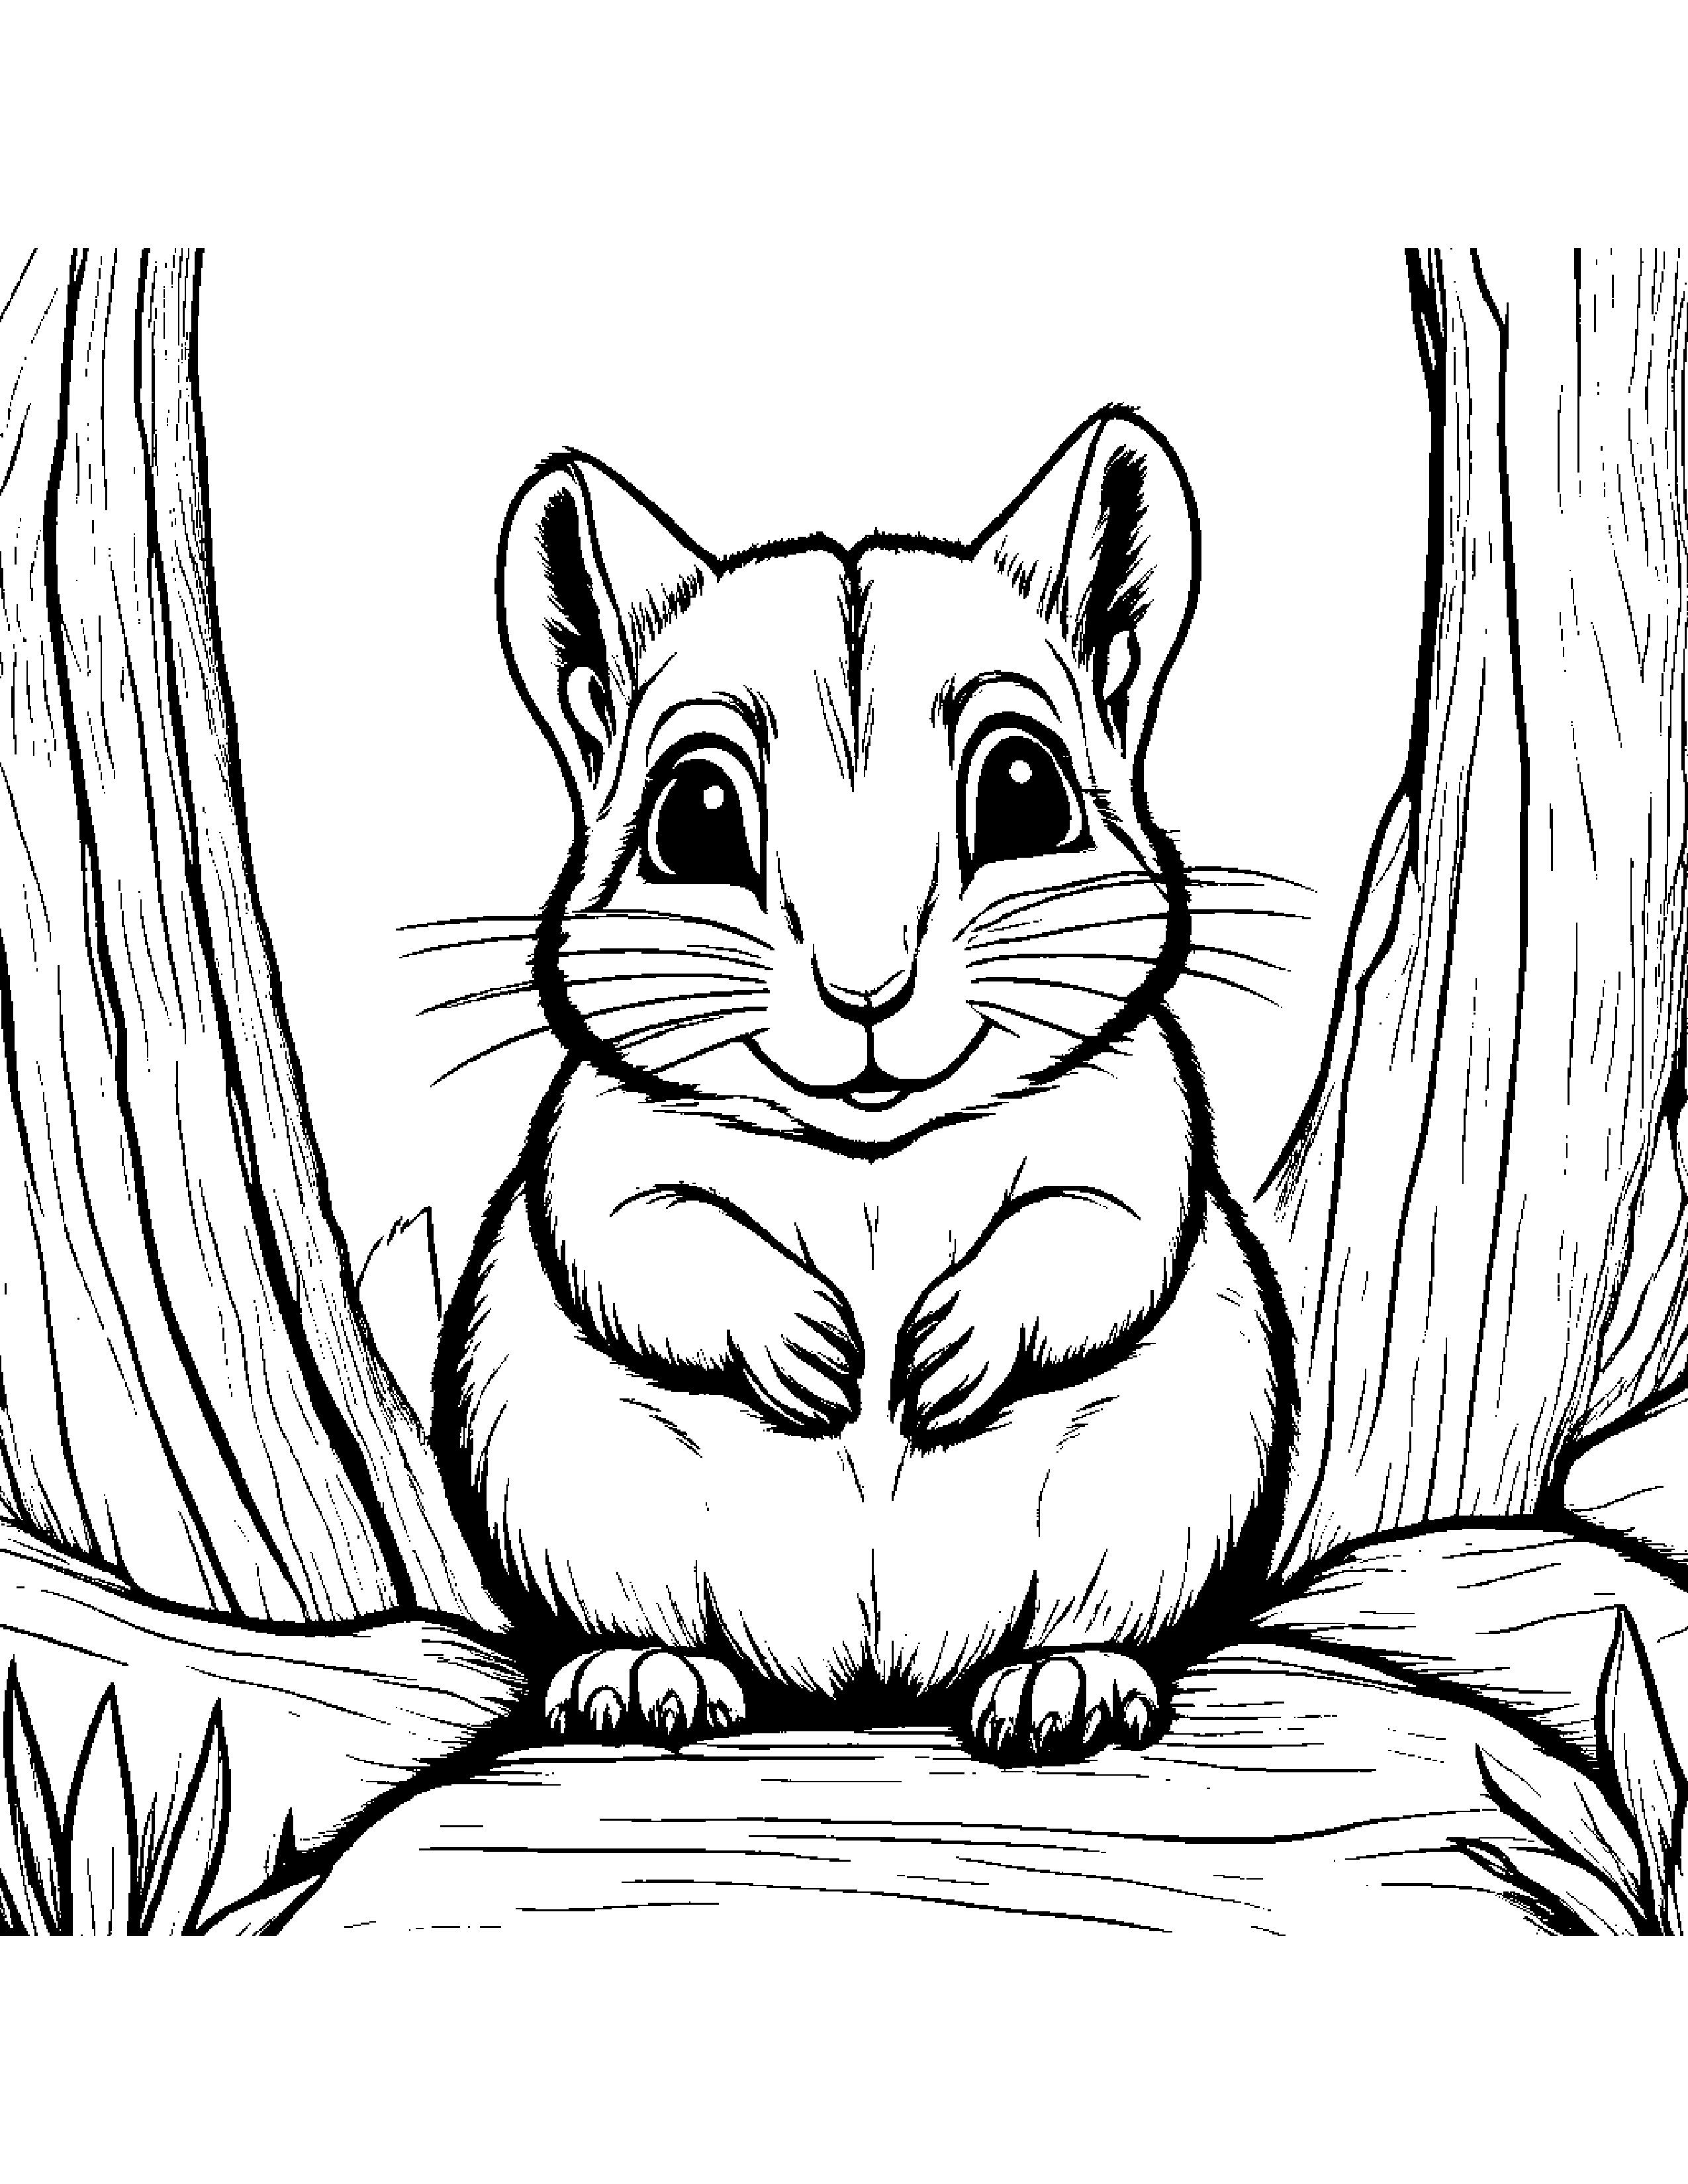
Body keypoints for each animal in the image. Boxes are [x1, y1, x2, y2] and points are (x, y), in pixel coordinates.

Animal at [433, 409, 1296, 1766]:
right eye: (694, 817)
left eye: (1024, 792)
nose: (867, 990)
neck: (871, 1152)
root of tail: (871, 1684)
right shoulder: (600, 1149)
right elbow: (645, 1244)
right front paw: (821, 1357)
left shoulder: (1138, 1125)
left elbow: (1094, 1235)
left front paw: (934, 1360)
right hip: (581, 1502)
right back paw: (641, 1679)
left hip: (1153, 1499)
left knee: (1094, 1618)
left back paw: (1062, 1688)